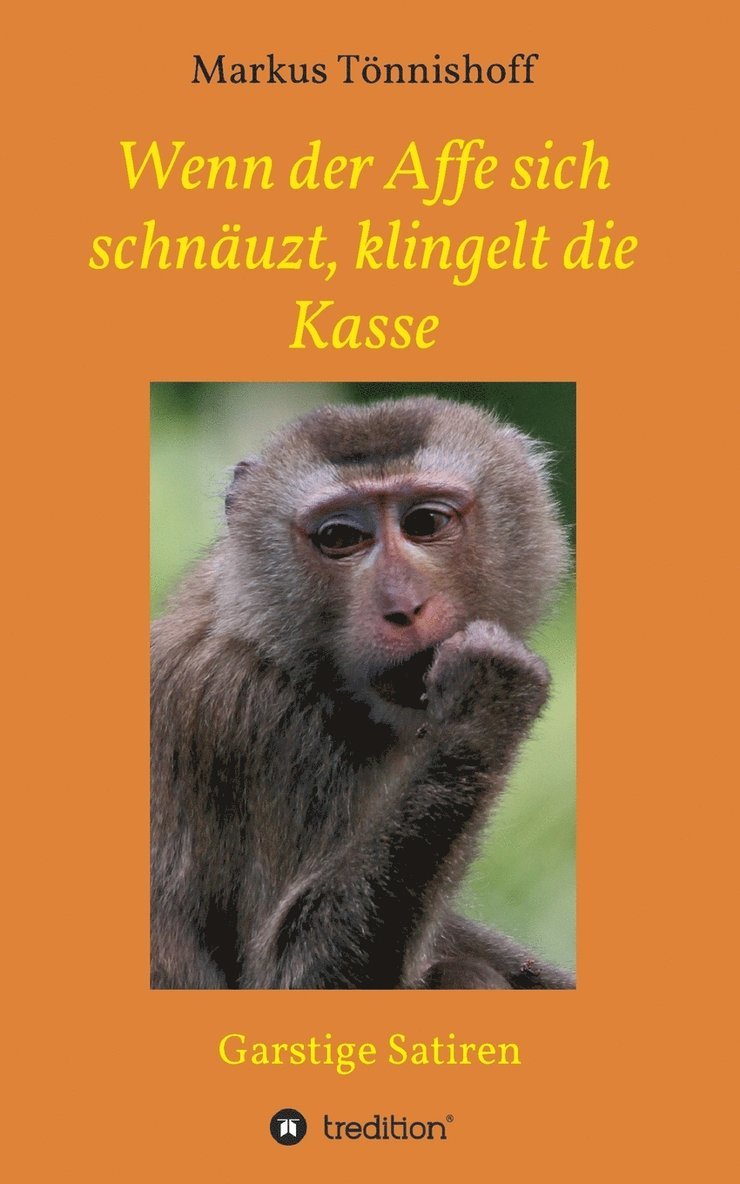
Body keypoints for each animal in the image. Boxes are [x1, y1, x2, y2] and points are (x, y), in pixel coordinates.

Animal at [151, 395, 574, 990]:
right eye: (340, 538)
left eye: (425, 522)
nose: (404, 606)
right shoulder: (252, 723)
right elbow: (293, 974)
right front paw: (484, 702)